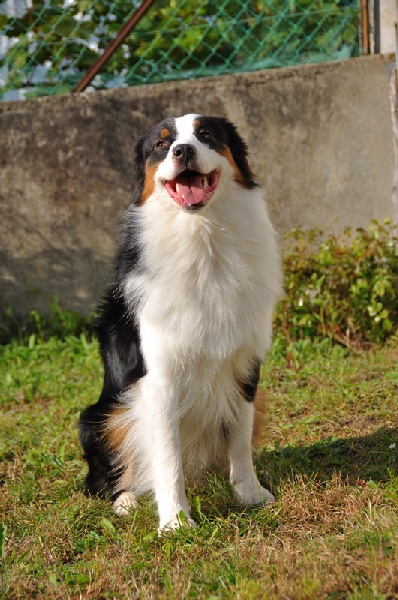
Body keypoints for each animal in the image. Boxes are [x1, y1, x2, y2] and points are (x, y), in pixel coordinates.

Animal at [79, 115, 282, 532]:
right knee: (105, 476)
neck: (202, 236)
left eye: (206, 135)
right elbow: (166, 456)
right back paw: (126, 501)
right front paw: (174, 522)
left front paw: (250, 494)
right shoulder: (159, 379)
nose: (182, 151)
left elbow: (240, 439)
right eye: (161, 144)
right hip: (100, 416)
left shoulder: (246, 366)